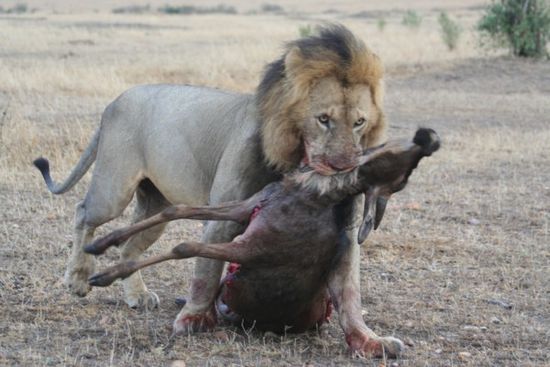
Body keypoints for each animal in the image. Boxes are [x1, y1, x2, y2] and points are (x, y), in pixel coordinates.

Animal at [36, 25, 404, 356]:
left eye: (359, 122)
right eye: (323, 119)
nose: (344, 167)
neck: (293, 163)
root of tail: (114, 102)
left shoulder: (344, 235)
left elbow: (350, 292)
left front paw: (370, 340)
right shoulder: (225, 216)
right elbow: (205, 271)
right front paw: (194, 318)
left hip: (155, 205)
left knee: (130, 245)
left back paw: (136, 295)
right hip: (114, 190)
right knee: (84, 214)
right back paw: (79, 279)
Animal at [86, 128, 442, 358]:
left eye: (402, 178)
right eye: (390, 151)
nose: (429, 137)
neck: (315, 196)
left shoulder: (254, 249)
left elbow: (184, 246)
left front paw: (105, 275)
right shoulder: (248, 207)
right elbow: (178, 210)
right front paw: (100, 244)